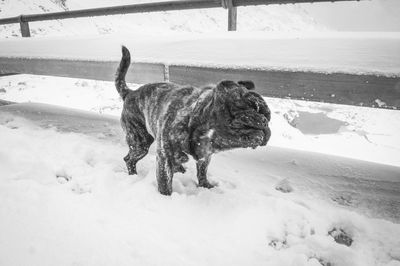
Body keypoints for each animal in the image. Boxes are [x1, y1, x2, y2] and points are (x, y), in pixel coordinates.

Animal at [115, 46, 272, 195]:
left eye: (268, 116)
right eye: (250, 111)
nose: (265, 121)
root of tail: (130, 93)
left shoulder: (205, 155)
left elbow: (202, 172)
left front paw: (205, 185)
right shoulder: (164, 158)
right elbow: (165, 184)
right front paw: (166, 198)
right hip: (140, 143)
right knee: (129, 159)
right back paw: (133, 175)